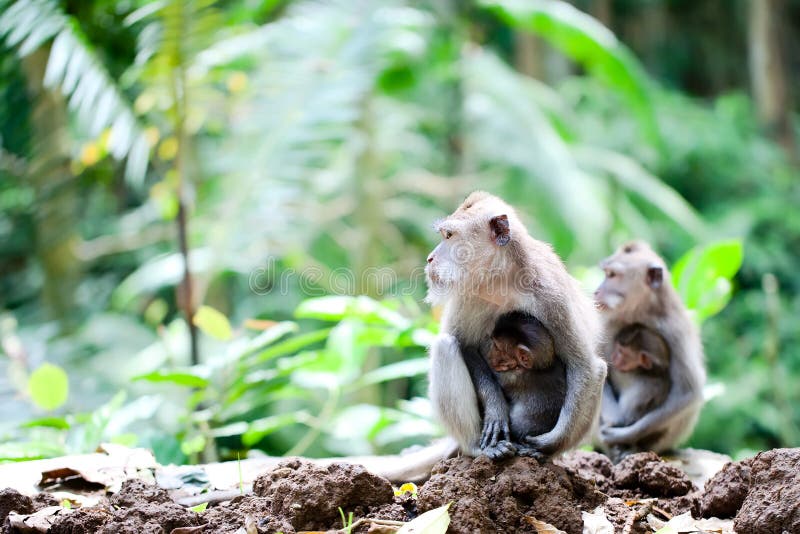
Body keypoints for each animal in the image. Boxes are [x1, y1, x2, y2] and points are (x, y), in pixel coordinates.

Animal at [596, 243, 704, 456]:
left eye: (612, 275)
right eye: (606, 273)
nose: (597, 291)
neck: (640, 310)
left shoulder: (676, 329)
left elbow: (688, 391)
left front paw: (622, 434)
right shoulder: (605, 321)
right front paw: (615, 422)